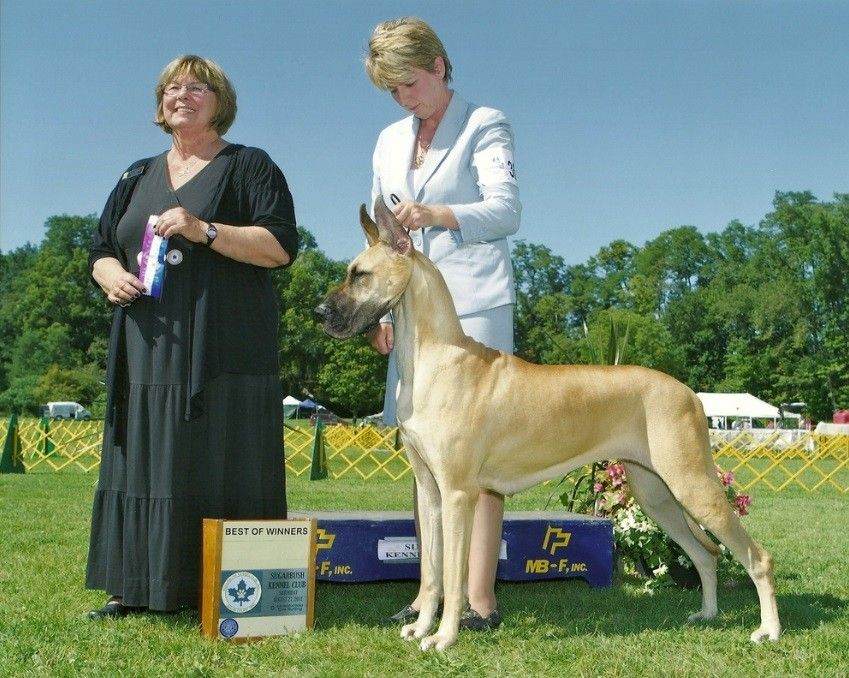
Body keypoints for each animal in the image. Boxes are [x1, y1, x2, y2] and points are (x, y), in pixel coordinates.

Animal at [315, 198, 781, 651]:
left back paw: (769, 630)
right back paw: (707, 614)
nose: (319, 312)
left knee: (756, 558)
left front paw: (444, 637)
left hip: (691, 483)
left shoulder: (458, 493)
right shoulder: (430, 492)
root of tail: (689, 392)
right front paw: (421, 626)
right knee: (706, 554)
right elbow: (431, 573)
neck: (432, 356)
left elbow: (454, 576)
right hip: (658, 495)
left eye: (360, 274)